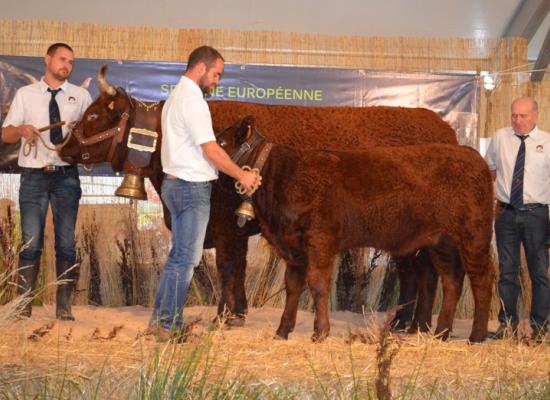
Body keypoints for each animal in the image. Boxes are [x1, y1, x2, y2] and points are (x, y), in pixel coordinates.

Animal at [218, 117, 498, 342]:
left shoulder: (320, 240)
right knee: (451, 281)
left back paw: (476, 335)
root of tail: (472, 155)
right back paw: (441, 333)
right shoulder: (293, 248)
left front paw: (320, 332)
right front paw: (282, 331)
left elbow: (317, 284)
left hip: (474, 235)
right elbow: (293, 286)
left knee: (482, 280)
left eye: (221, 142)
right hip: (440, 242)